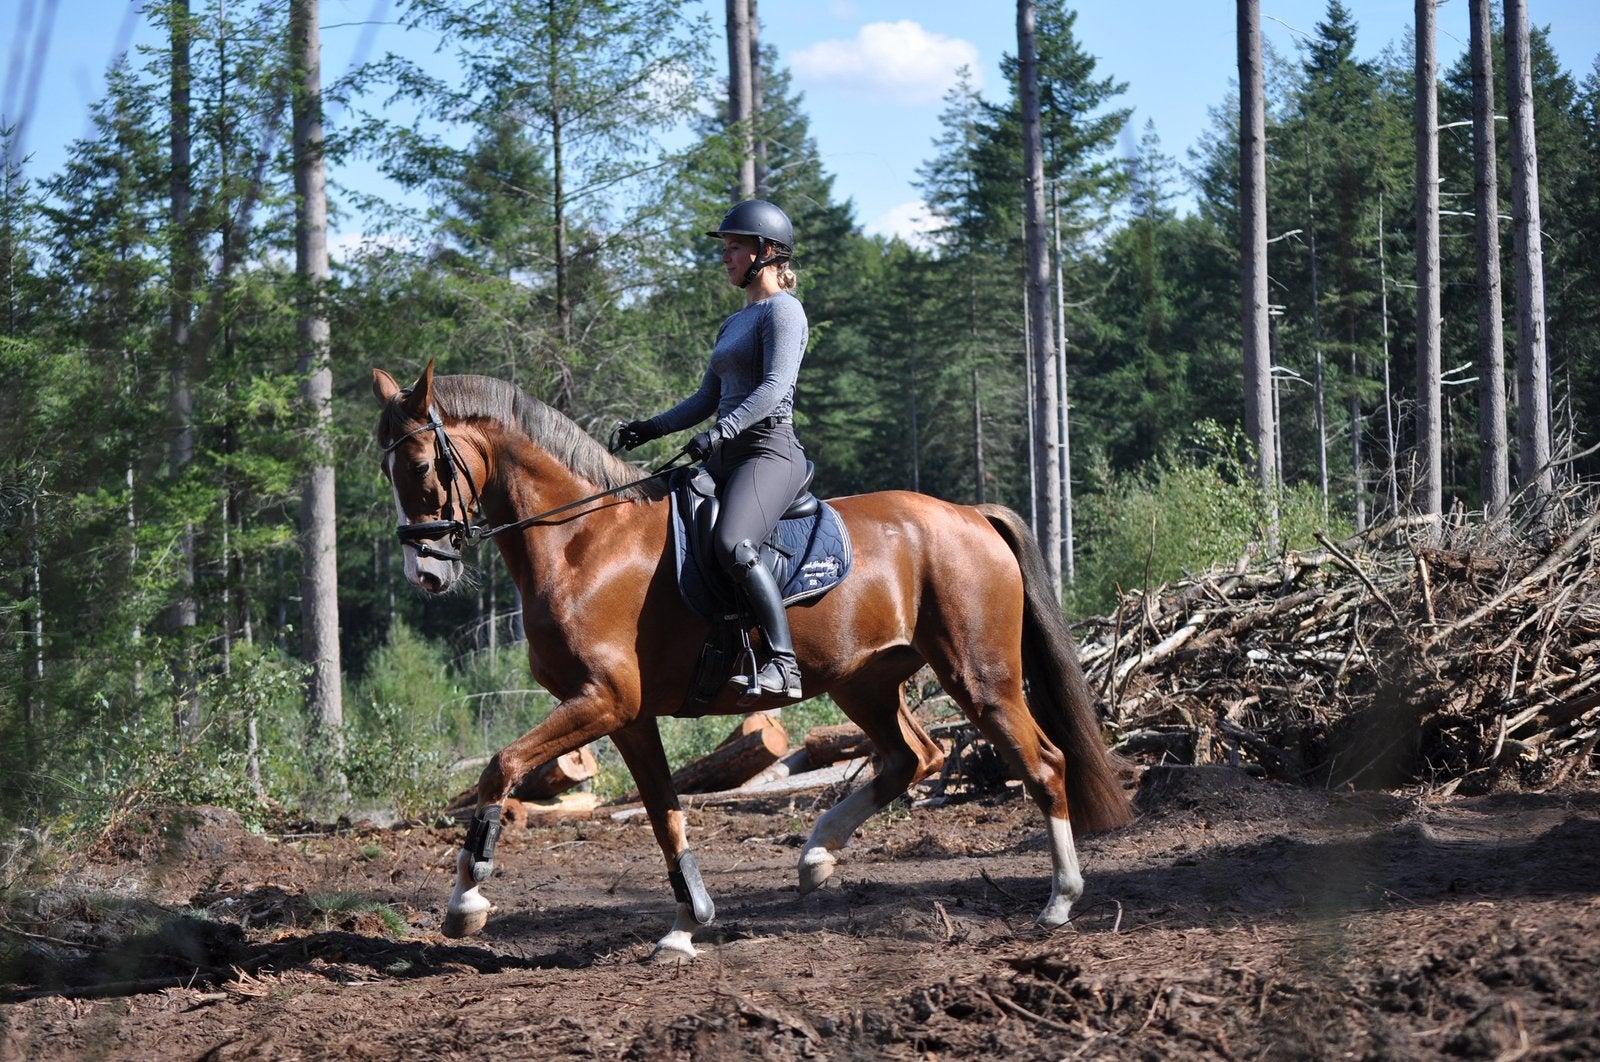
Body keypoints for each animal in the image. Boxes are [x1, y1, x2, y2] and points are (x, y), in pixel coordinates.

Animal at [372, 361, 1133, 960]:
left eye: (420, 466)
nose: (425, 573)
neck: (582, 542)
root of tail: (972, 515)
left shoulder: (603, 700)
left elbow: (501, 767)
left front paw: (465, 903)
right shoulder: (628, 716)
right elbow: (665, 815)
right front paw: (687, 925)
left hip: (980, 675)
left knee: (1043, 763)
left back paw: (1060, 901)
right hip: (865, 680)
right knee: (913, 756)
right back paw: (817, 856)